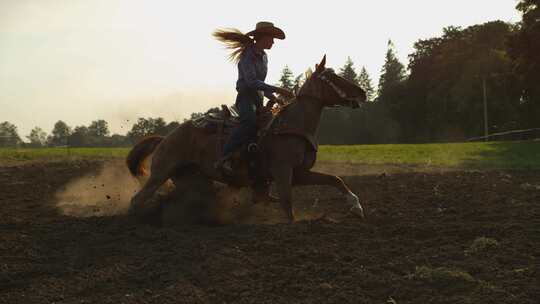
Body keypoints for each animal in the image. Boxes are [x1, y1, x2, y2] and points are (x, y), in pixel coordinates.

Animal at [126, 54, 368, 222]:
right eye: (332, 77)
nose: (362, 92)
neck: (291, 125)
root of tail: (165, 138)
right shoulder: (283, 172)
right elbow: (287, 206)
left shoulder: (299, 173)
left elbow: (334, 179)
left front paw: (356, 207)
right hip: (160, 173)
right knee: (138, 199)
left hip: (193, 179)